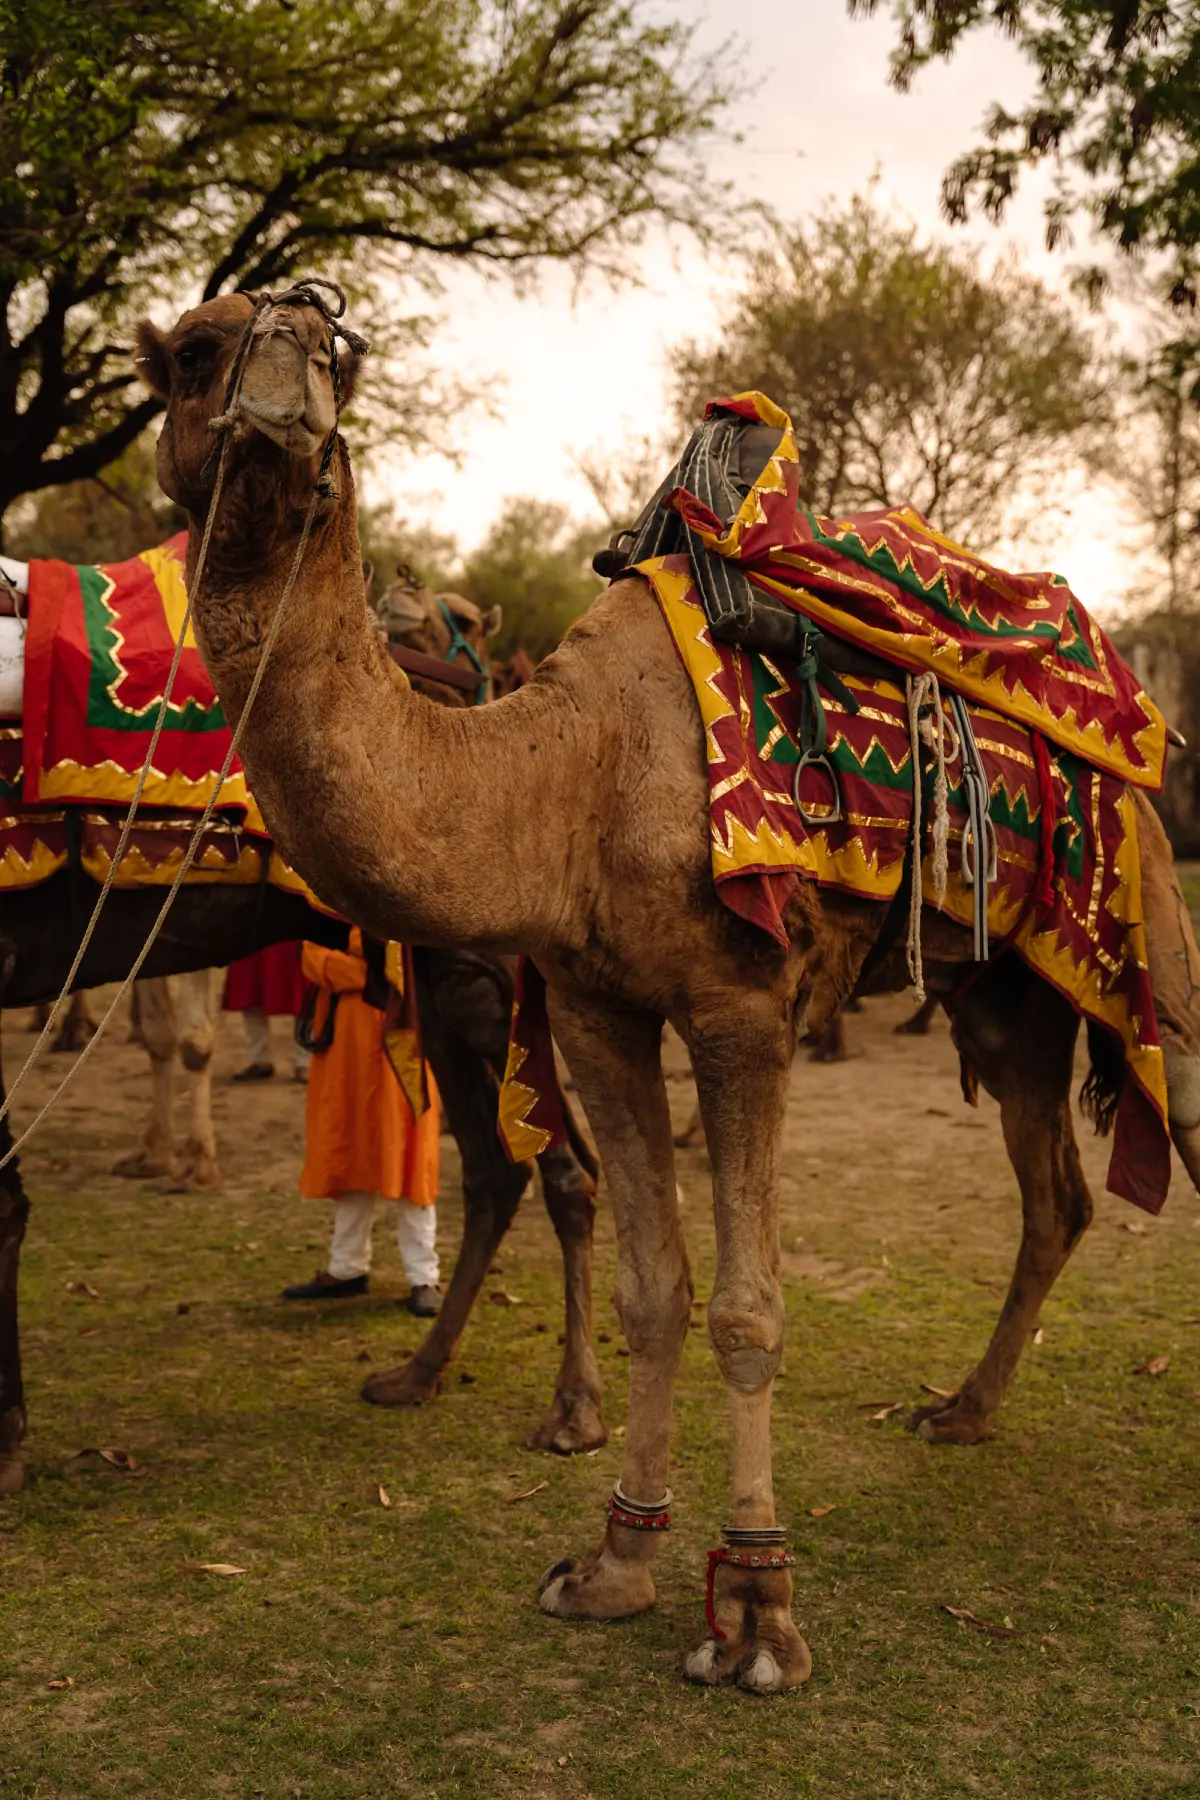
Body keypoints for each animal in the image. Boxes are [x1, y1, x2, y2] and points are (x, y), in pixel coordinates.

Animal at [141, 288, 1200, 1692]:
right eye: (190, 354)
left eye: (339, 355)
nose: (287, 362)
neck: (567, 777)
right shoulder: (597, 1009)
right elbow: (656, 1289)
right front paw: (614, 1563)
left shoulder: (740, 1008)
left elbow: (749, 1310)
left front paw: (755, 1613)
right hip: (1005, 995)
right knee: (1057, 1196)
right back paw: (962, 1413)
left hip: (1149, 926)